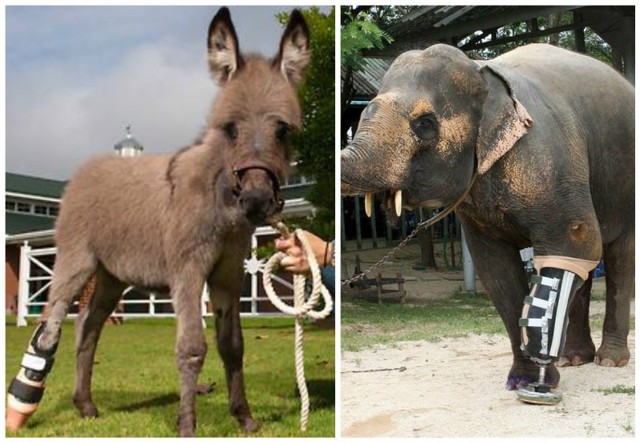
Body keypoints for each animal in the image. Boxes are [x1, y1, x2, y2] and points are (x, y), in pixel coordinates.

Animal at [342, 44, 632, 392]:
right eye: (363, 114)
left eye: (425, 123)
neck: (480, 69)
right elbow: (495, 267)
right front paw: (524, 380)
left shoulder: (546, 160)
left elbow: (576, 241)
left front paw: (539, 379)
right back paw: (573, 359)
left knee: (617, 258)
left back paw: (610, 360)